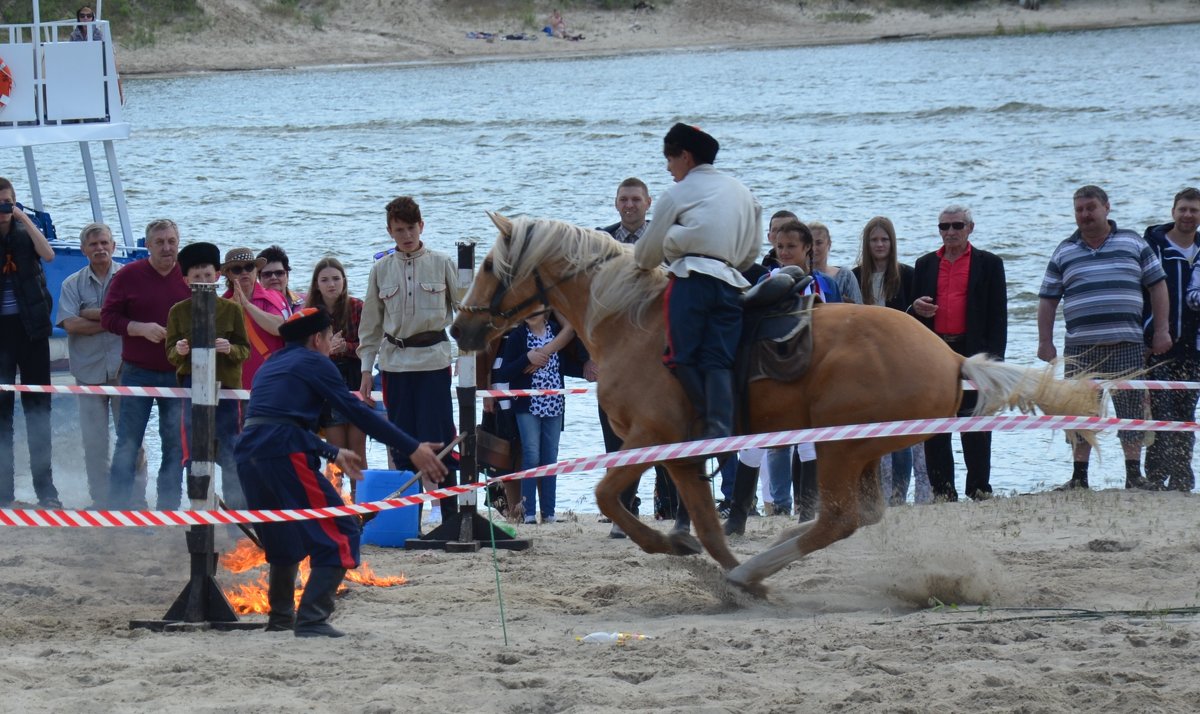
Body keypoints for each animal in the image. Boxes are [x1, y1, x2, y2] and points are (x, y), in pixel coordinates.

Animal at [451, 212, 1099, 592]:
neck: (630, 320)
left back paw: (758, 569)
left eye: (491, 266)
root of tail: (949, 357)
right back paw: (758, 567)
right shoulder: (681, 454)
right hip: (863, 452)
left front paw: (675, 548)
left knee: (839, 520)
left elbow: (611, 498)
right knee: (858, 516)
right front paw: (706, 556)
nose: (461, 328)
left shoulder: (652, 439)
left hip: (841, 450)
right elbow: (706, 522)